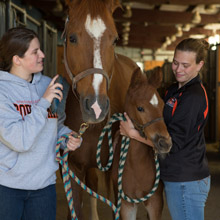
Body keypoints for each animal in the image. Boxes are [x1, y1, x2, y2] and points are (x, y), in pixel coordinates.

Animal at [110, 67, 172, 220]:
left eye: (163, 105)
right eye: (140, 108)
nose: (165, 143)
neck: (136, 164)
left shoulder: (155, 201)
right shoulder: (126, 204)